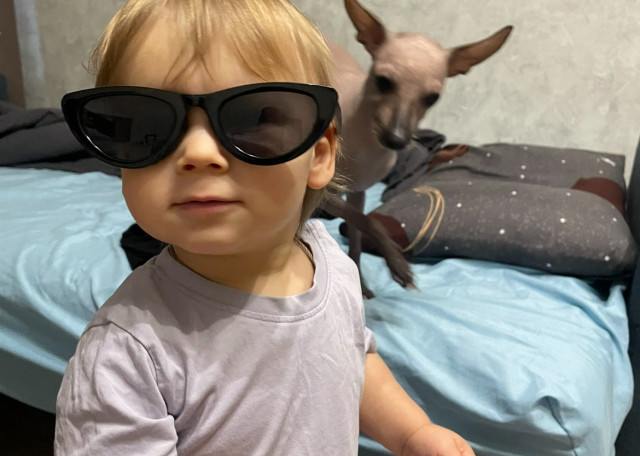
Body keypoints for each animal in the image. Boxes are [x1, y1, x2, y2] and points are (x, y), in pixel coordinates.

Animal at [322, 0, 513, 298]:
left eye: (432, 98)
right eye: (383, 81)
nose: (396, 139)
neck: (366, 144)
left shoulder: (358, 192)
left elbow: (356, 232)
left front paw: (360, 283)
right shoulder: (324, 192)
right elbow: (370, 222)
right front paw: (397, 262)